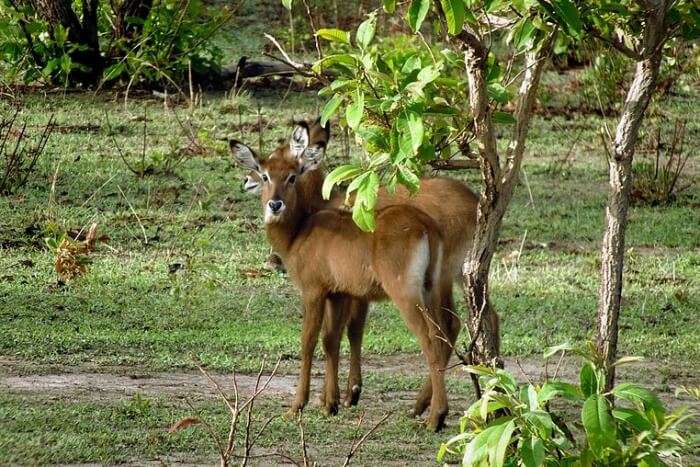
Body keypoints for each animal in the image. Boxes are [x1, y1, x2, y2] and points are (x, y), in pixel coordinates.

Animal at [241, 120, 486, 420]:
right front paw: (332, 401)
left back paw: (434, 414)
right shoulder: (341, 293)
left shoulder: (315, 292)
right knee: (456, 326)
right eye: (265, 173)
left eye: (291, 174)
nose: (273, 203)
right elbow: (334, 338)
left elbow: (311, 341)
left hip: (414, 292)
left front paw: (305, 403)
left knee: (433, 338)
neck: (302, 228)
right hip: (441, 284)